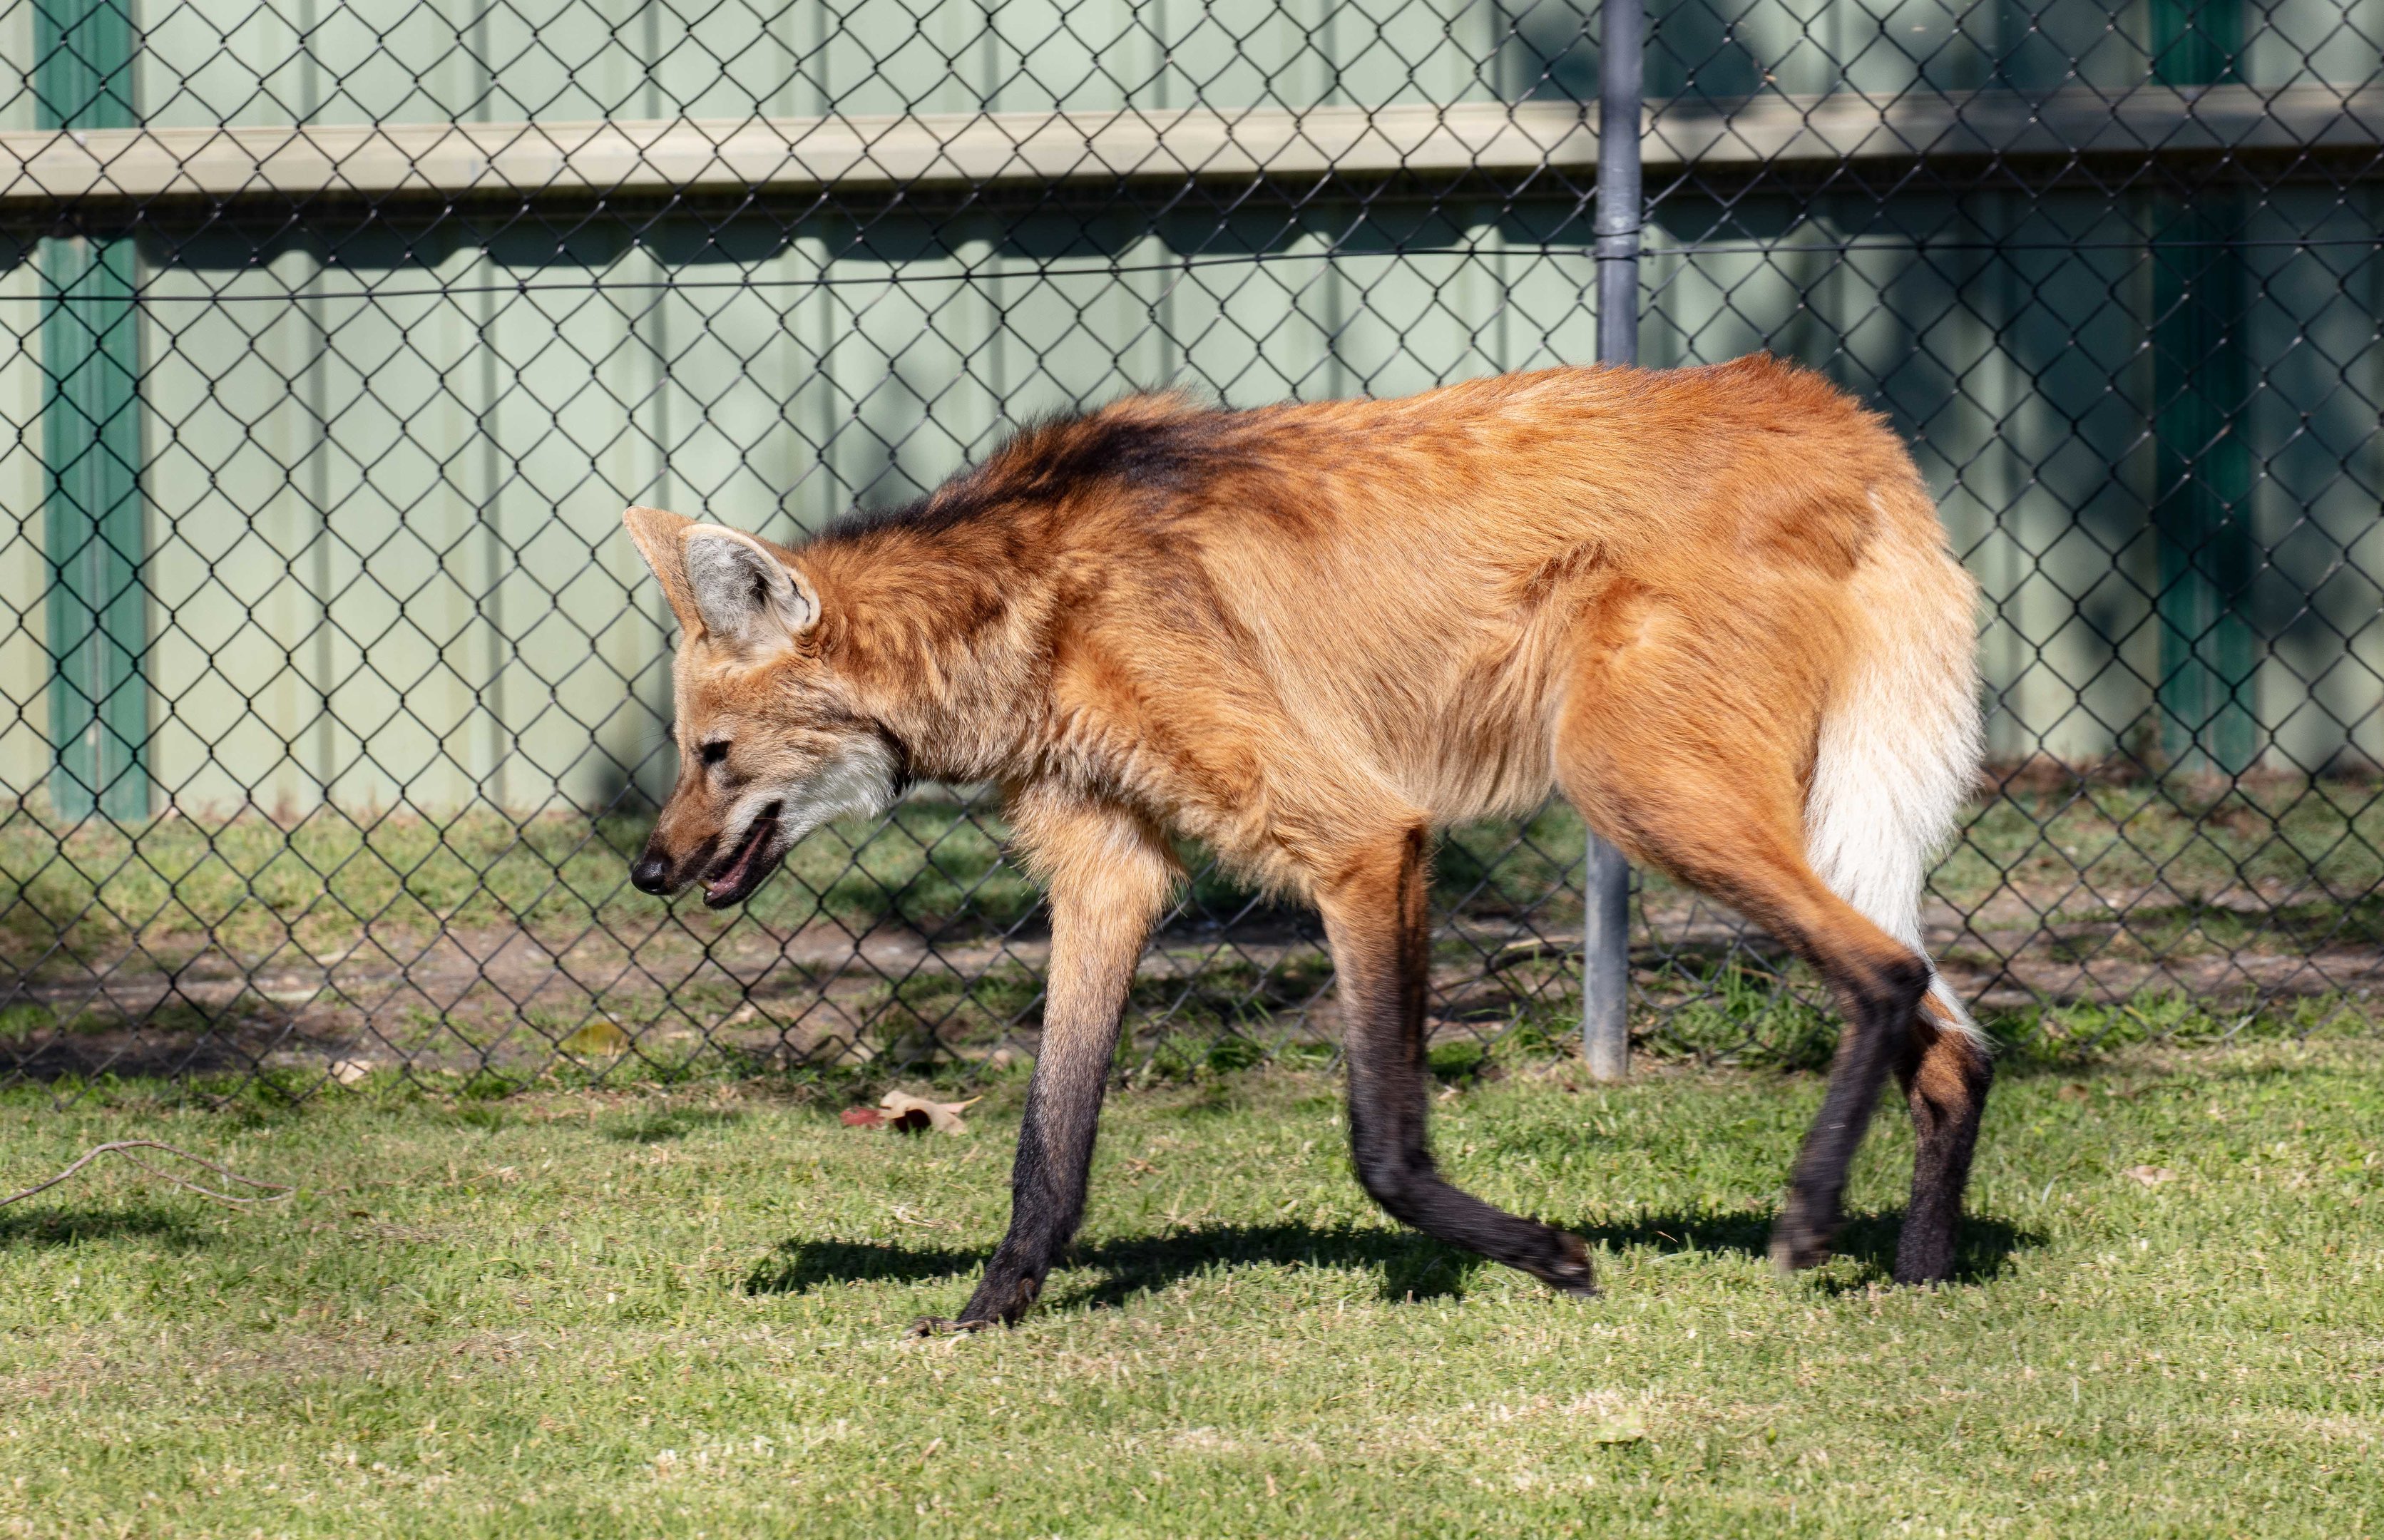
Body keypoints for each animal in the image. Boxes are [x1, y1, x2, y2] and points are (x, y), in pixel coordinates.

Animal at [622, 355, 1989, 1327]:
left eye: (711, 756)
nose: (648, 869)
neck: (1026, 606)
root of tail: (1833, 412)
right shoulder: (1110, 872)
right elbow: (1047, 1145)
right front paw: (988, 1309)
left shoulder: (1362, 841)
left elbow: (1381, 1144)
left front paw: (1546, 1255)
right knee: (1955, 1044)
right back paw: (1919, 1277)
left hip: (1637, 787)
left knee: (1886, 970)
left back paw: (1808, 1218)